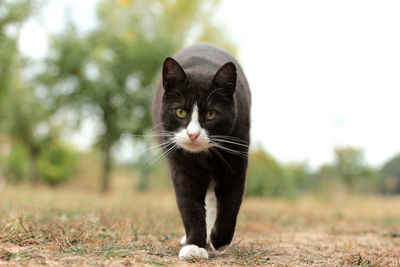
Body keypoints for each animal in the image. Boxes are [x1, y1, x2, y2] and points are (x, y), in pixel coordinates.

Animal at [152, 43, 252, 260]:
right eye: (180, 111)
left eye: (211, 114)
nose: (193, 134)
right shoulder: (181, 167)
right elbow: (190, 205)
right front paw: (194, 246)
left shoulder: (236, 162)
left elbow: (231, 203)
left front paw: (218, 240)